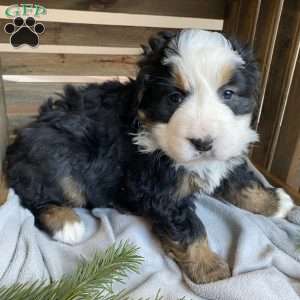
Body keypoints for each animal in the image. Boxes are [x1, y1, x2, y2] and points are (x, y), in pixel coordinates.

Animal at [5, 30, 294, 284]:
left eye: (228, 94)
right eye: (175, 97)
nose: (203, 143)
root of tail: (19, 140)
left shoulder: (226, 154)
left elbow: (242, 182)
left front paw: (273, 202)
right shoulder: (161, 190)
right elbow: (191, 229)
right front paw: (209, 267)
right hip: (56, 157)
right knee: (37, 196)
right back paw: (66, 224)